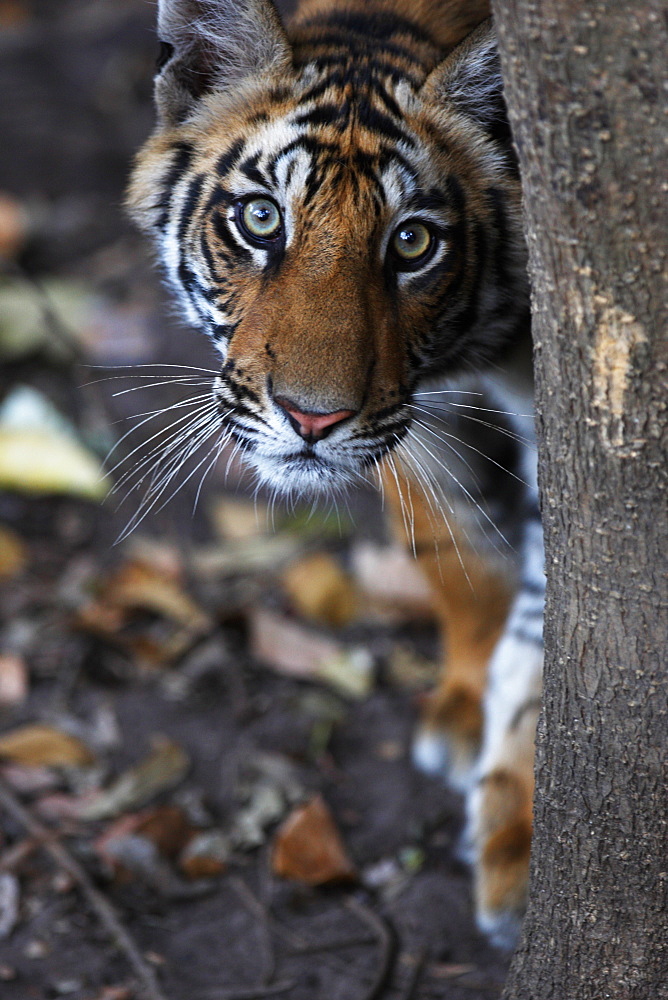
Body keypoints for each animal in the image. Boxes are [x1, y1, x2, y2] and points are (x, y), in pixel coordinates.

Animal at [125, 0, 544, 948]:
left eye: (413, 242)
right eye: (261, 221)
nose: (312, 420)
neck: (474, 356)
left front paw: (523, 851)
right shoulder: (418, 423)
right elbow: (454, 556)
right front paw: (464, 707)